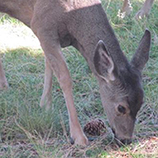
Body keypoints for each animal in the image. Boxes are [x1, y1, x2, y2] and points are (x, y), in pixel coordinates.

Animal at [0, 0, 151, 146]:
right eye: (121, 107)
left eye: (141, 102)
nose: (126, 139)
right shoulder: (41, 26)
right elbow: (65, 77)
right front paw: (78, 137)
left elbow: (49, 64)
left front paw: (45, 106)